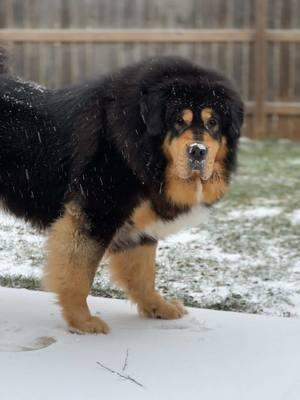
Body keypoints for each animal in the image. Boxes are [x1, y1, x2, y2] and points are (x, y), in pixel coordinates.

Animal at [0, 52, 244, 334]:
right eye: (177, 121)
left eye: (213, 123)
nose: (197, 150)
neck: (141, 149)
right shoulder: (96, 212)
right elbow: (79, 273)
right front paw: (82, 321)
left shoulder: (141, 228)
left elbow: (144, 274)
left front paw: (158, 308)